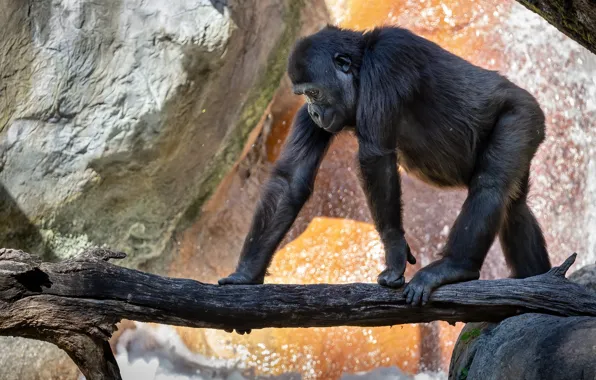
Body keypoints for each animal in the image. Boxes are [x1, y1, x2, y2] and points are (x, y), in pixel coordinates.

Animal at [219, 23, 548, 308]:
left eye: (313, 92)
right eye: (303, 96)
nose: (313, 111)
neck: (361, 64)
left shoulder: (389, 59)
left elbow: (376, 157)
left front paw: (393, 248)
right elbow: (290, 181)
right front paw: (245, 274)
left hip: (522, 113)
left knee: (490, 187)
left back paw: (457, 266)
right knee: (515, 206)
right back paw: (536, 283)